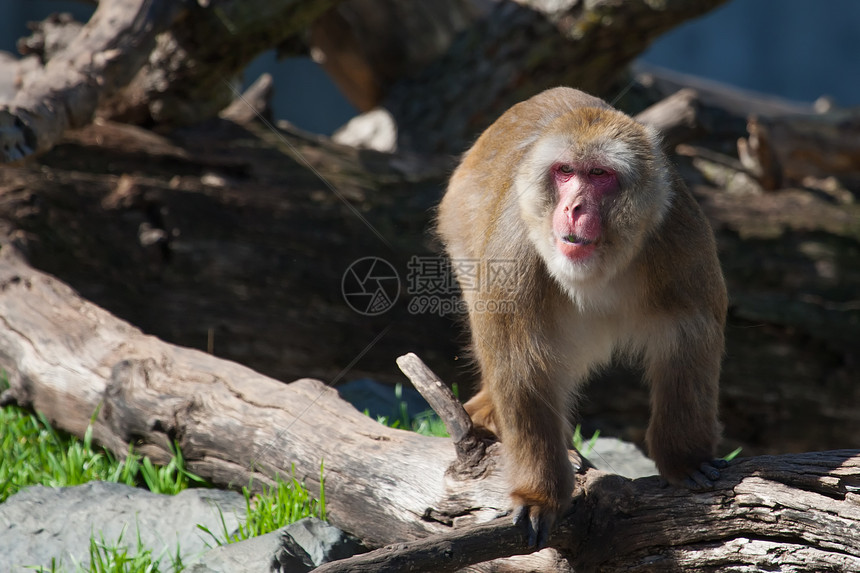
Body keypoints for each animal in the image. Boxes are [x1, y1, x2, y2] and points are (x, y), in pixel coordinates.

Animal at [436, 87, 724, 548]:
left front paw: (685, 458)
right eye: (565, 172)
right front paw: (539, 495)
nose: (573, 207)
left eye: (600, 174)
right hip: (459, 232)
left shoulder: (680, 233)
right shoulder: (513, 250)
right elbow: (522, 366)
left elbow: (689, 337)